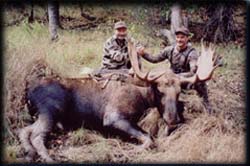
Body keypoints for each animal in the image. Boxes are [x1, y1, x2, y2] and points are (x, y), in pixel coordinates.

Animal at [18, 39, 220, 161]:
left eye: (179, 92)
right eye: (160, 91)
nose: (173, 119)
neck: (142, 97)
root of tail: (28, 92)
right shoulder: (113, 117)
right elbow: (149, 139)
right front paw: (132, 150)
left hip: (45, 115)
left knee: (25, 130)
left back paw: (29, 152)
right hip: (50, 110)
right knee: (36, 134)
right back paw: (48, 157)